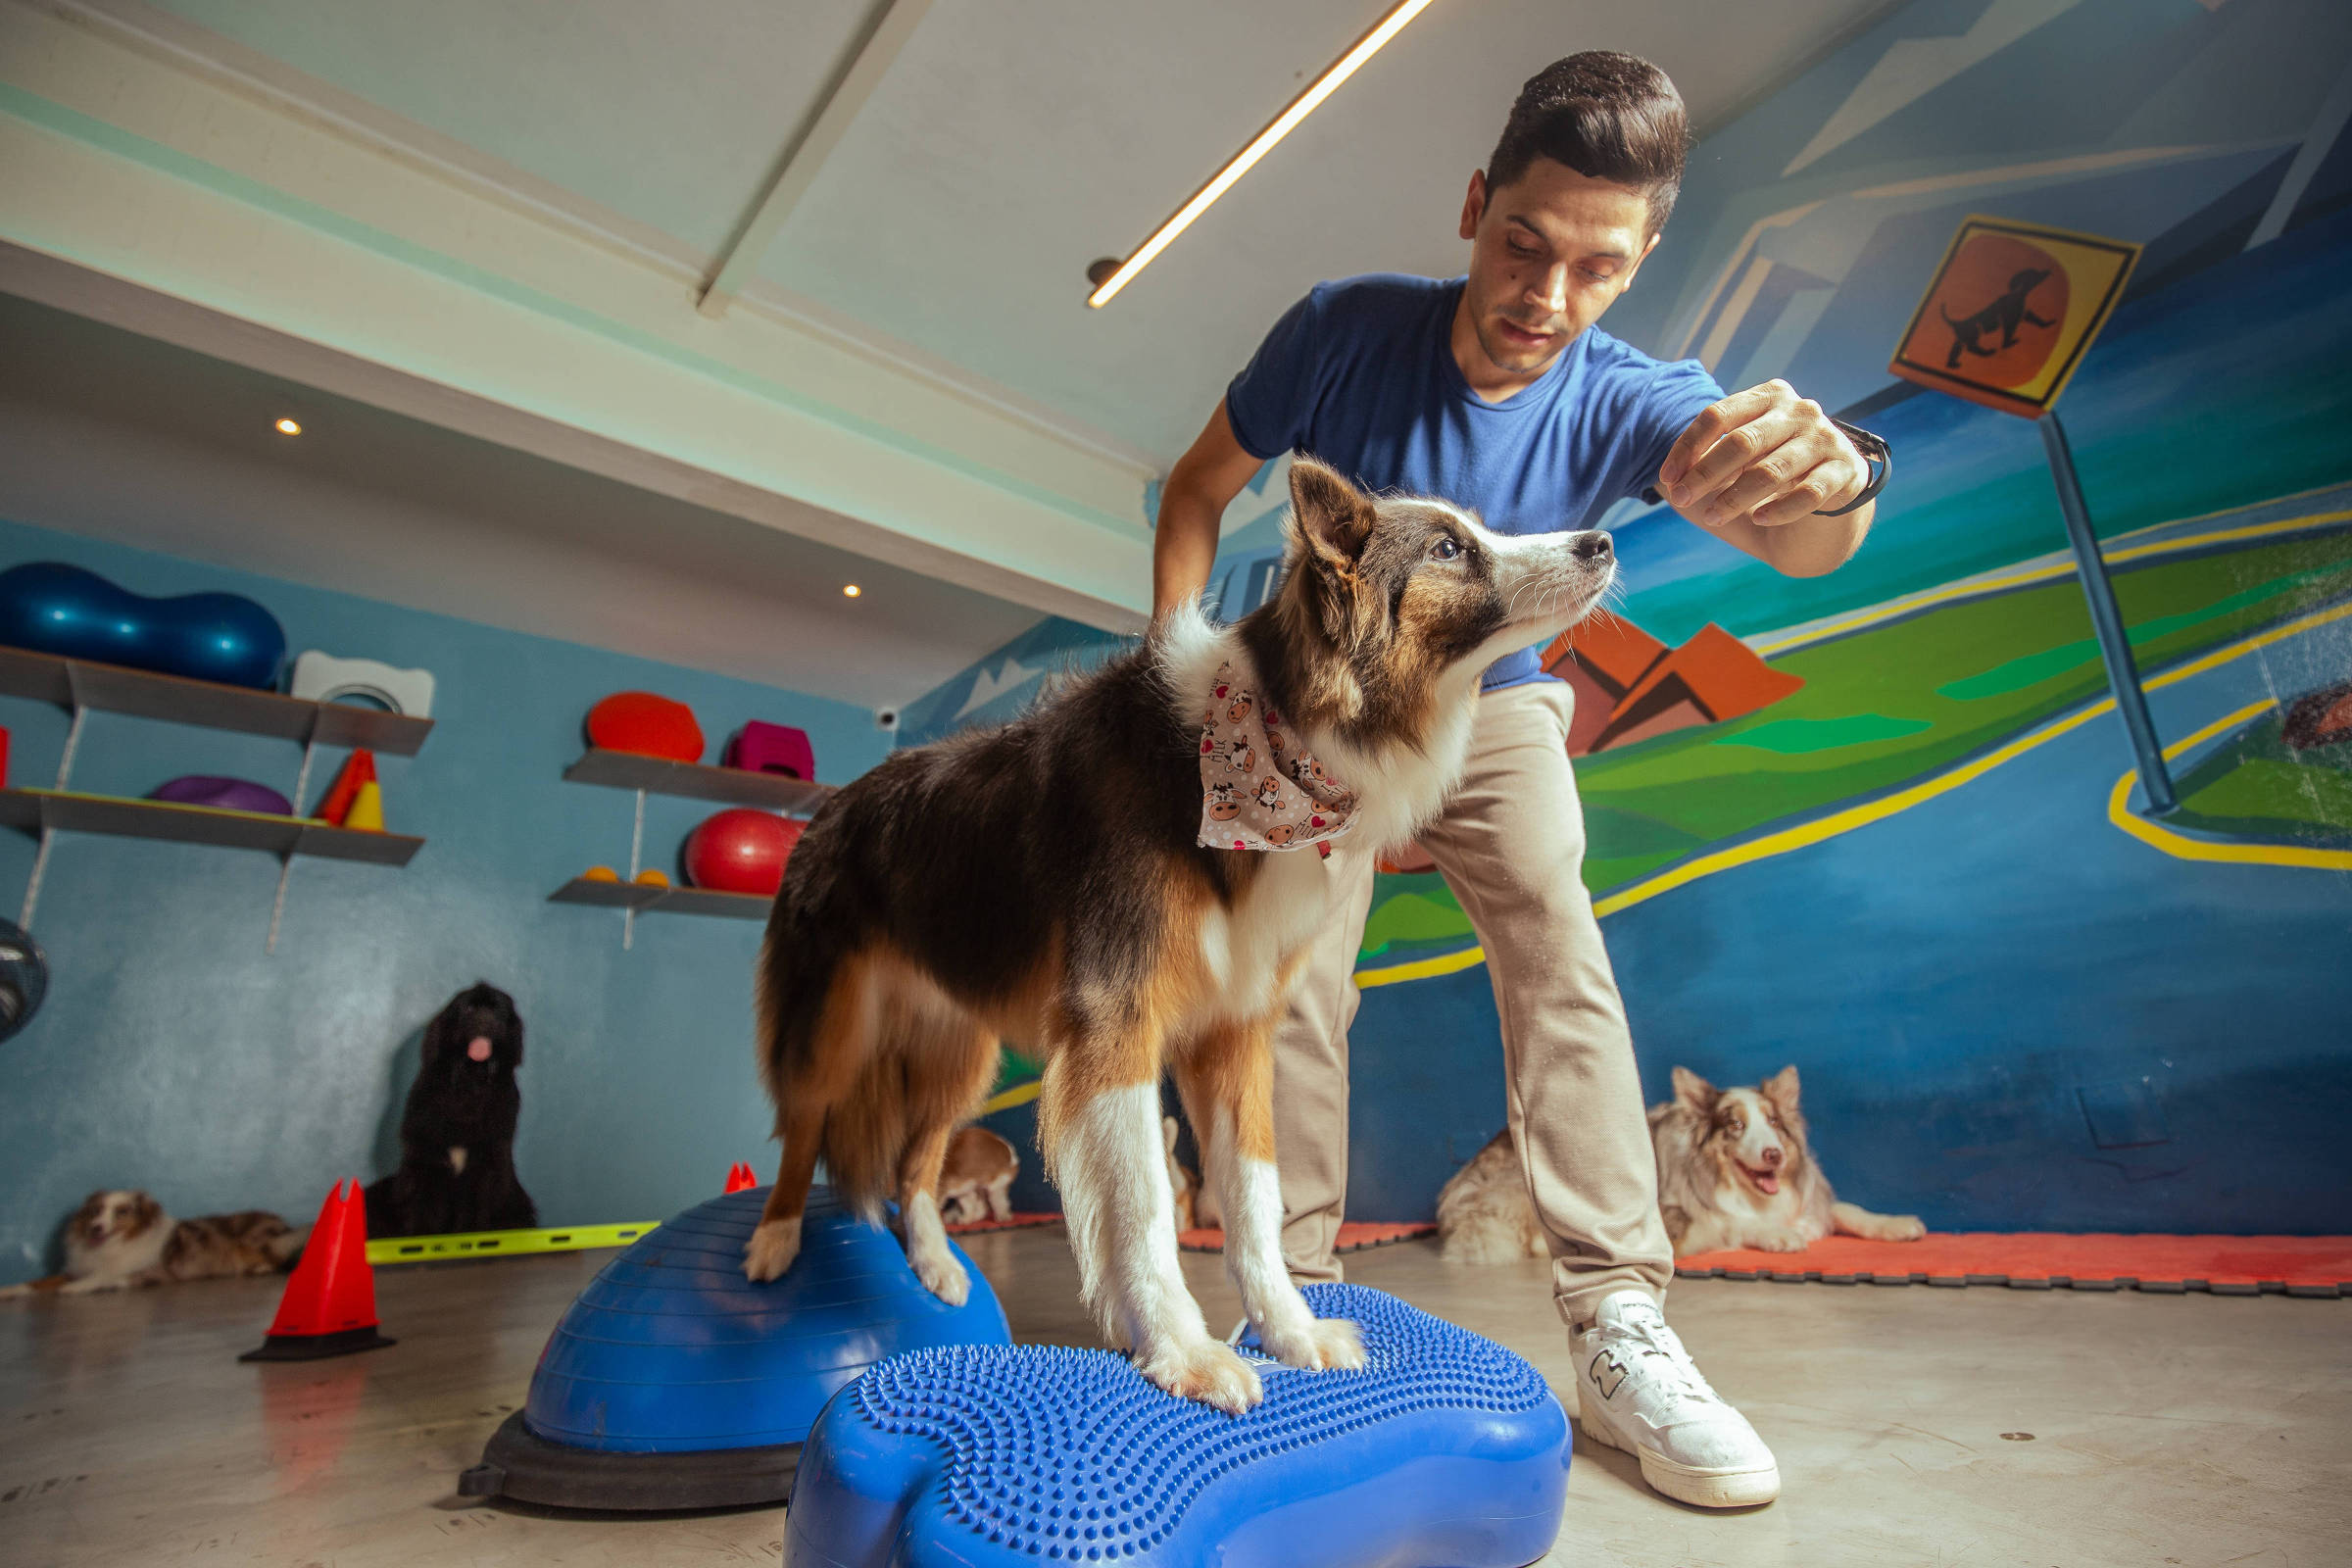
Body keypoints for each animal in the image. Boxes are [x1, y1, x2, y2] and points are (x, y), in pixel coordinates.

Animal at [0, 1189, 308, 1298]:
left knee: (280, 1260)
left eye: (122, 1211)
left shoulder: (155, 1273)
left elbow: (105, 1277)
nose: (95, 1228)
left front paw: (75, 1288)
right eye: (96, 1210)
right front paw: (9, 1290)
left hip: (255, 1239)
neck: (112, 1246)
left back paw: (261, 1269)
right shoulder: (76, 1267)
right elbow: (38, 1282)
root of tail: (284, 1224)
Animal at [360, 982, 536, 1241]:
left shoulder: (485, 1162)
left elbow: (474, 1212)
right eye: (469, 1009)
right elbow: (424, 1209)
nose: (485, 1022)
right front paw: (422, 1241)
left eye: (498, 1012)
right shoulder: (427, 1159)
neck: (469, 1083)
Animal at [743, 453, 1608, 1410]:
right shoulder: (1115, 1018)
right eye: (1451, 548)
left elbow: (1256, 1200)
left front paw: (1289, 1330)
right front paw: (1182, 1350)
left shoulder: (1237, 1030)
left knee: (918, 1163)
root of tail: (831, 805)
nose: (1602, 542)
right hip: (831, 1027)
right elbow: (1146, 1203)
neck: (1277, 743)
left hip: (959, 1048)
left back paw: (936, 1261)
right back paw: (774, 1242)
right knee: (803, 1131)